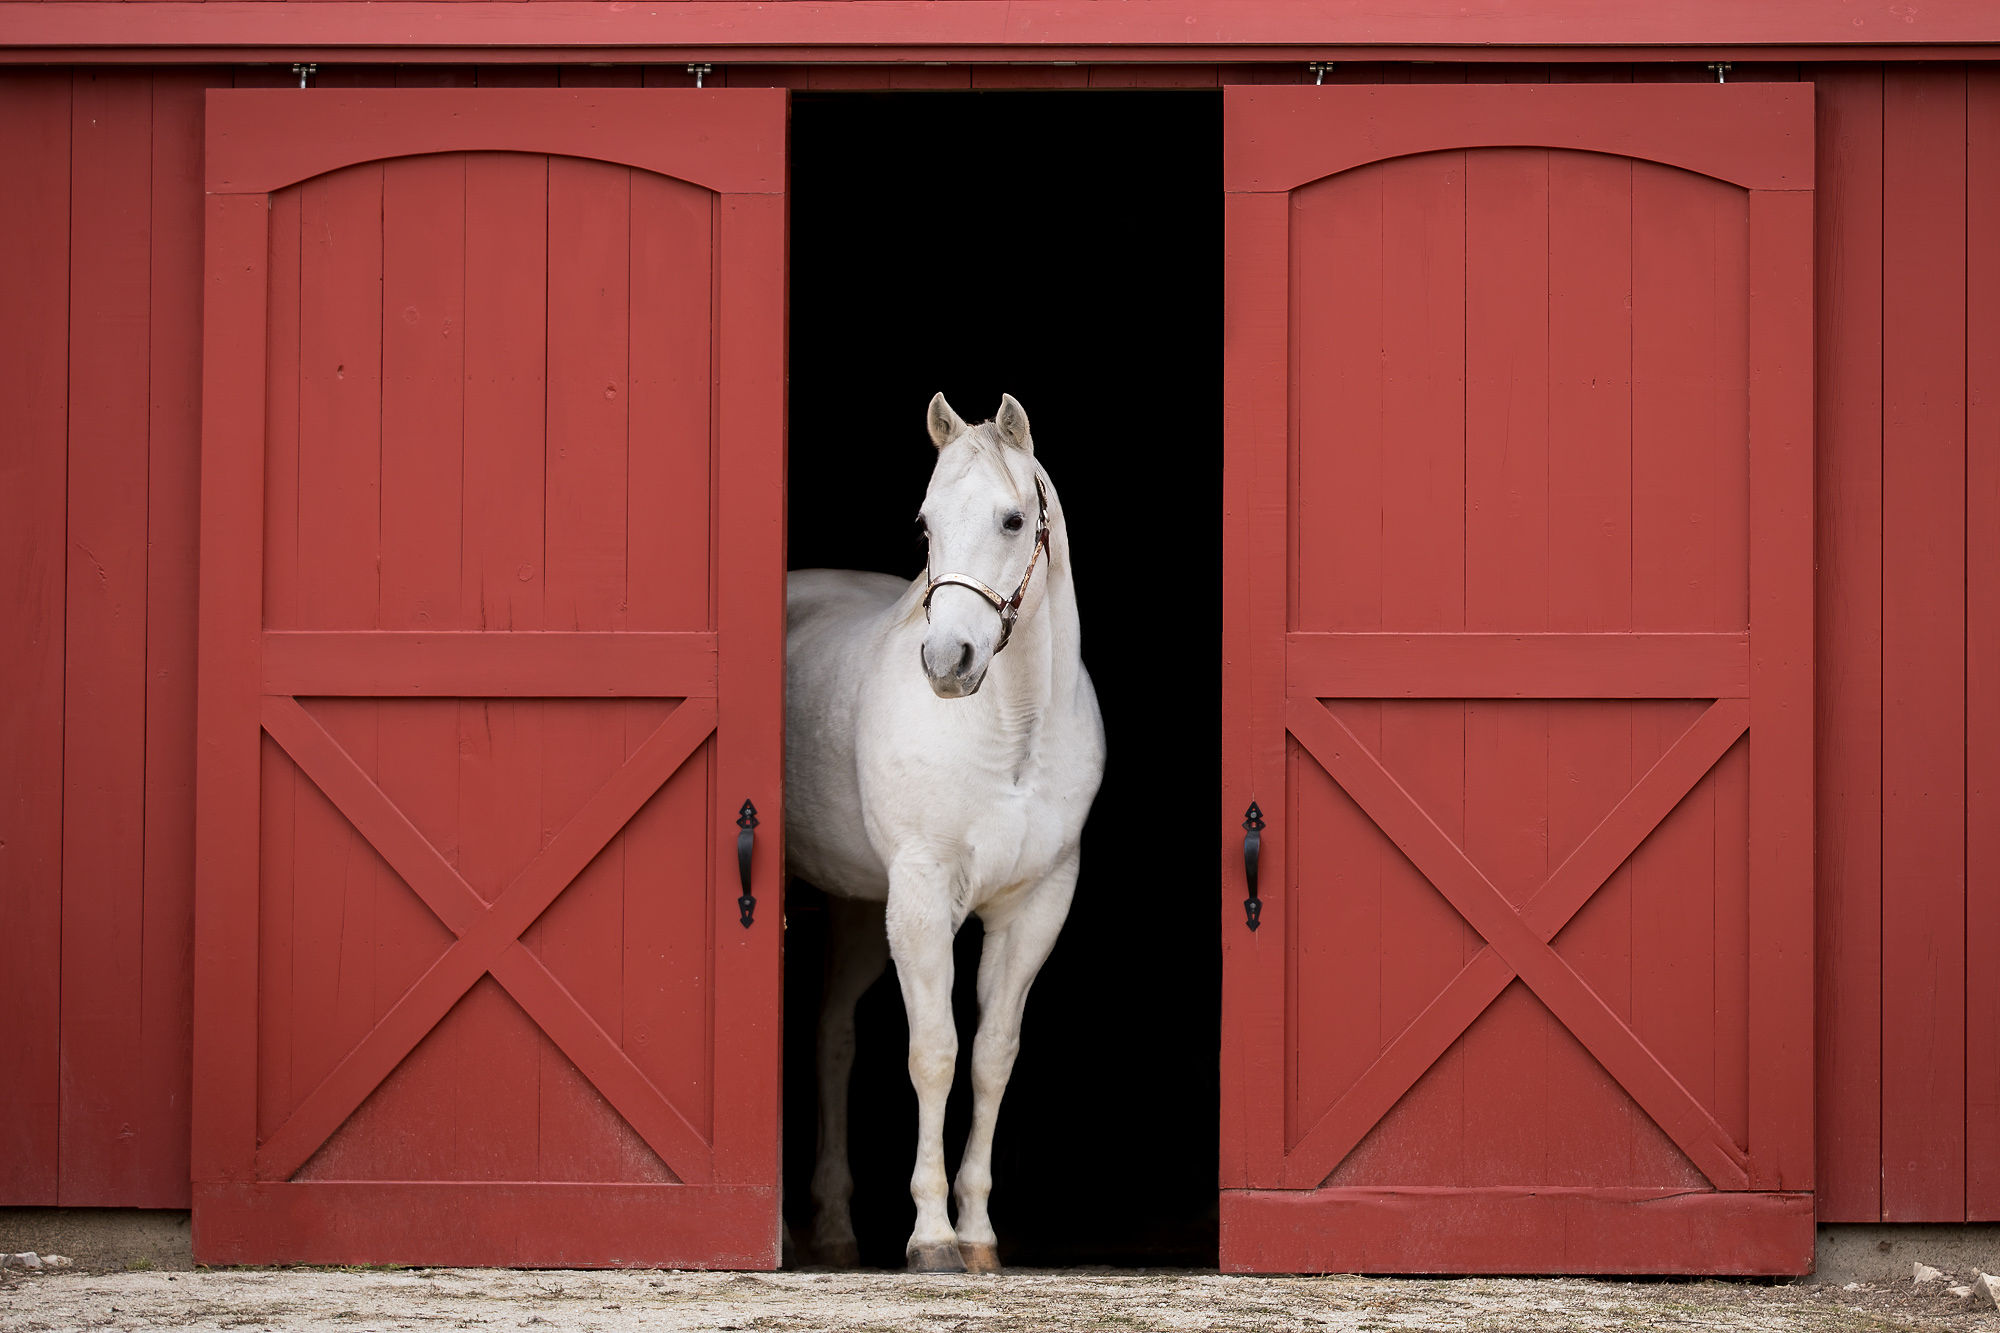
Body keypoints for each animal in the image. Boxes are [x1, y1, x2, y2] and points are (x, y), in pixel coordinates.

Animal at [784, 392, 1112, 1264]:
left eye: (1012, 518)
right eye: (925, 523)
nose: (947, 660)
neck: (1013, 729)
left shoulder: (1037, 904)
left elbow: (993, 1056)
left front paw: (979, 1231)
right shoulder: (925, 898)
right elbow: (934, 1052)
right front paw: (931, 1235)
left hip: (861, 906)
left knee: (833, 1037)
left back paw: (835, 1227)